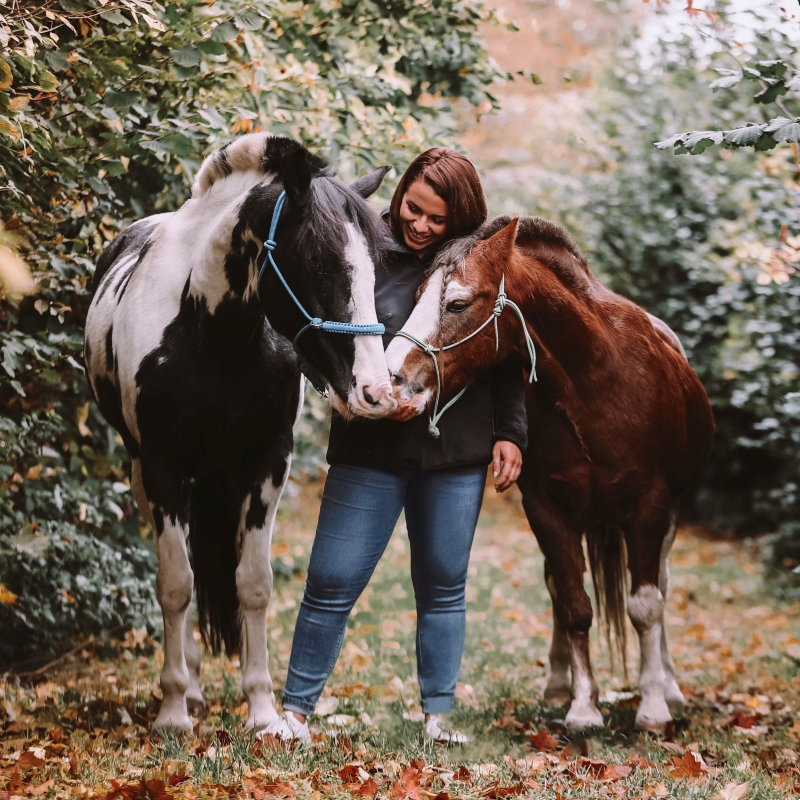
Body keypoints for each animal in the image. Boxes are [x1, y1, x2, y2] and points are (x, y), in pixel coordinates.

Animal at [85, 132, 397, 733]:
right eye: (318, 260)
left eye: (377, 267)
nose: (375, 391)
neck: (213, 332)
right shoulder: (162, 467)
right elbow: (175, 585)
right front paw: (173, 711)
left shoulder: (267, 463)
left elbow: (252, 584)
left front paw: (262, 711)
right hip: (144, 474)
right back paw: (189, 687)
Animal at [385, 216, 714, 733]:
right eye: (417, 295)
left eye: (457, 303)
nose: (391, 380)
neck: (593, 379)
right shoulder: (547, 509)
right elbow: (575, 606)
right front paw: (583, 707)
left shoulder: (652, 506)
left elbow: (646, 606)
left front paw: (653, 706)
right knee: (560, 589)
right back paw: (560, 682)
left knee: (660, 584)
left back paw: (670, 684)